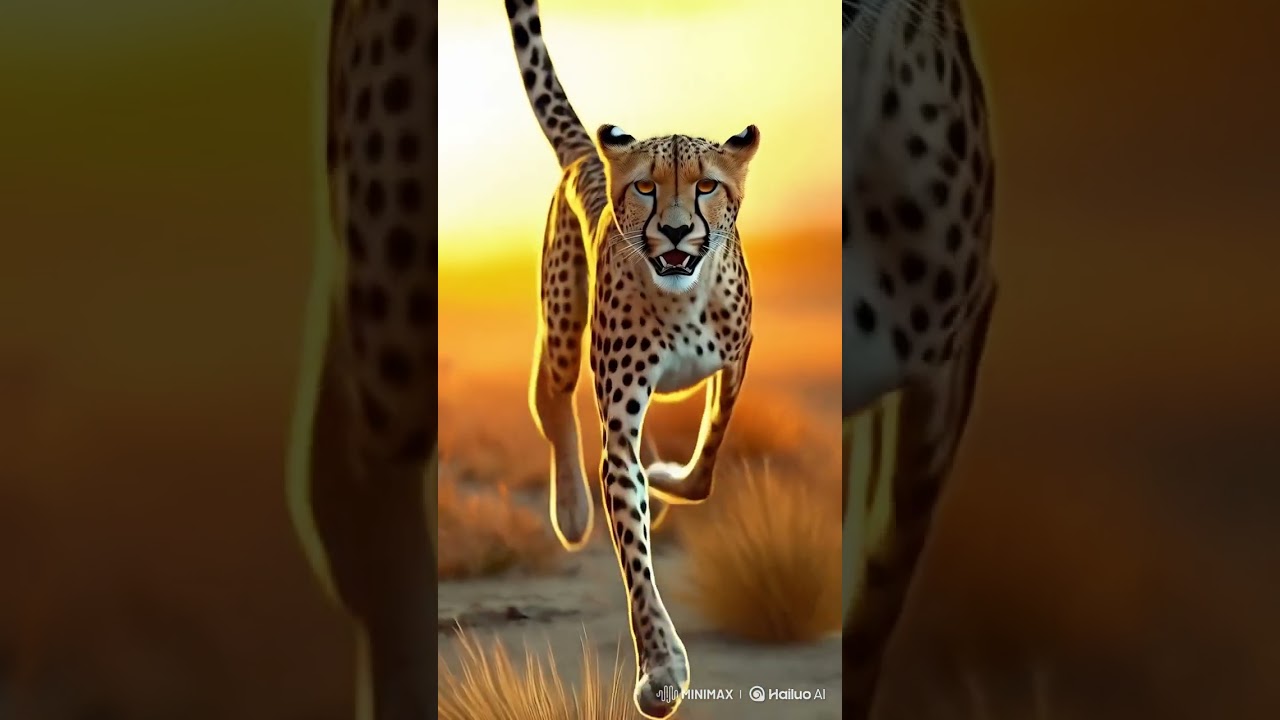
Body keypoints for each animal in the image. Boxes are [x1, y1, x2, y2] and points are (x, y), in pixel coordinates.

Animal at [507, 1, 762, 717]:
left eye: (706, 187)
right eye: (647, 188)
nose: (675, 230)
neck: (682, 298)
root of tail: (587, 154)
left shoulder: (735, 363)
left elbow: (705, 465)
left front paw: (671, 480)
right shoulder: (618, 427)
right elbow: (636, 558)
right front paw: (662, 668)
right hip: (564, 320)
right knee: (547, 393)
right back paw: (570, 512)